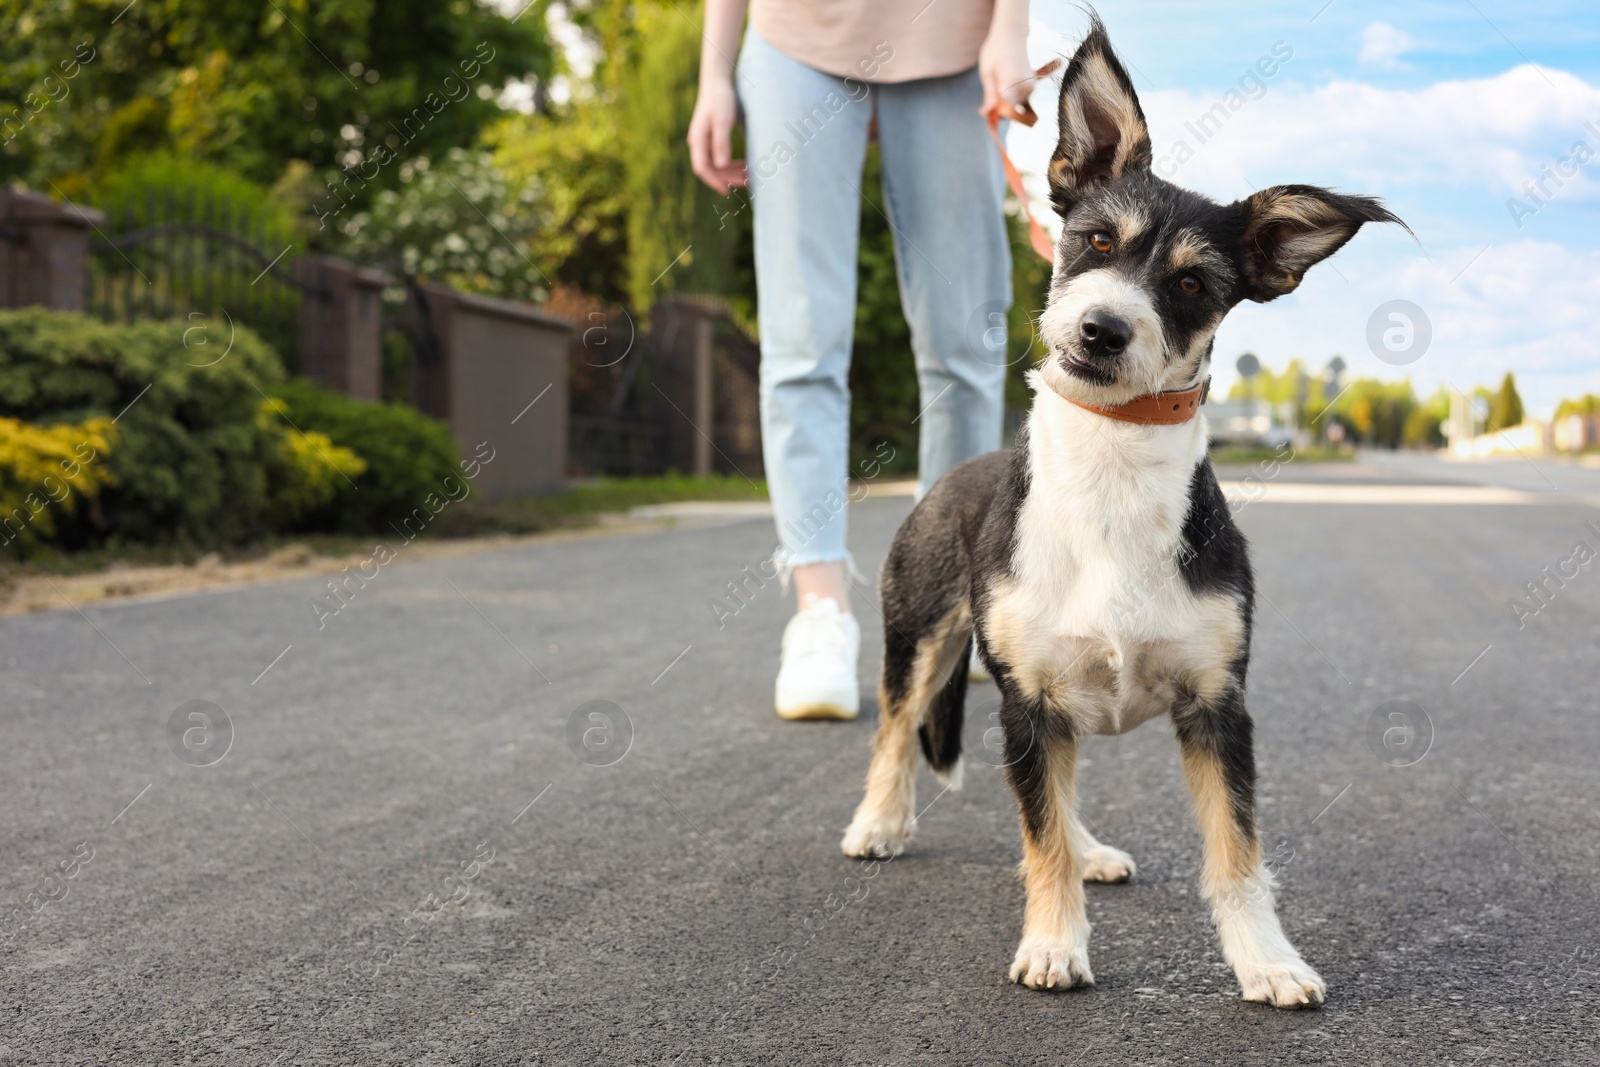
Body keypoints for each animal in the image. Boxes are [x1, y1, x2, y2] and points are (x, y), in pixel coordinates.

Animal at [838, 20, 1401, 1017]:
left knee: (1057, 799)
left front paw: (1267, 960)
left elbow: (1237, 854)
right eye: (1095, 239)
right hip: (922, 634)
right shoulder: (1027, 698)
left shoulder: (1218, 707)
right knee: (898, 729)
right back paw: (880, 820)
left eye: (1193, 285)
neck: (1113, 476)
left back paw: (1092, 848)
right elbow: (1039, 841)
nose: (1103, 329)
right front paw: (1054, 944)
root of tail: (949, 477)